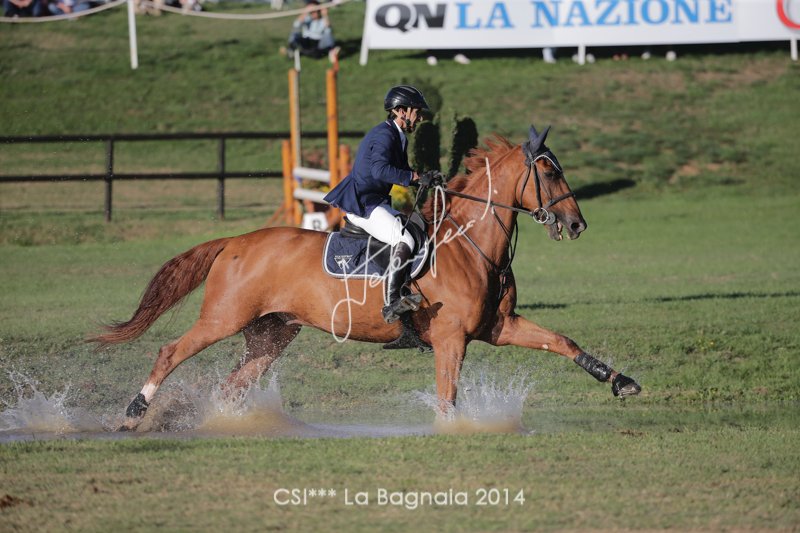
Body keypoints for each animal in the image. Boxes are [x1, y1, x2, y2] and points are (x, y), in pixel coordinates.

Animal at [89, 124, 641, 431]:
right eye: (549, 173)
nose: (577, 224)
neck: (473, 245)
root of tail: (236, 240)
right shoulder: (451, 338)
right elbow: (447, 395)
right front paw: (451, 431)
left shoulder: (497, 327)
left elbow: (563, 342)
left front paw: (620, 381)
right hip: (223, 318)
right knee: (170, 352)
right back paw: (134, 413)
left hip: (271, 333)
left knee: (232, 385)